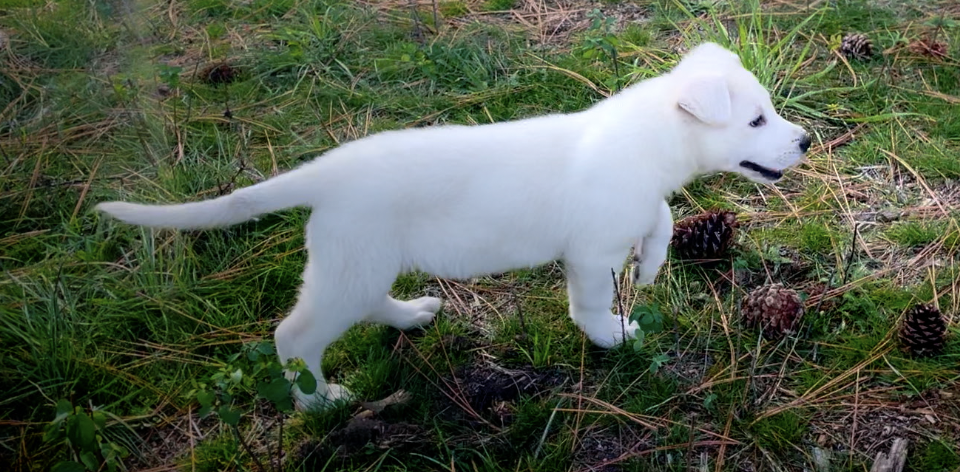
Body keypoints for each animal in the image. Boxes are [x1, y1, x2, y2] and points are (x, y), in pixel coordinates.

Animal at [97, 41, 808, 410]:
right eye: (754, 121)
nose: (804, 141)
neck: (644, 139)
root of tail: (324, 173)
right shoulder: (589, 252)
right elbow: (590, 304)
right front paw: (613, 337)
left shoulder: (637, 207)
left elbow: (660, 215)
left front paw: (655, 262)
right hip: (350, 269)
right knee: (293, 336)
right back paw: (320, 401)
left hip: (359, 266)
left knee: (363, 307)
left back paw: (411, 316)